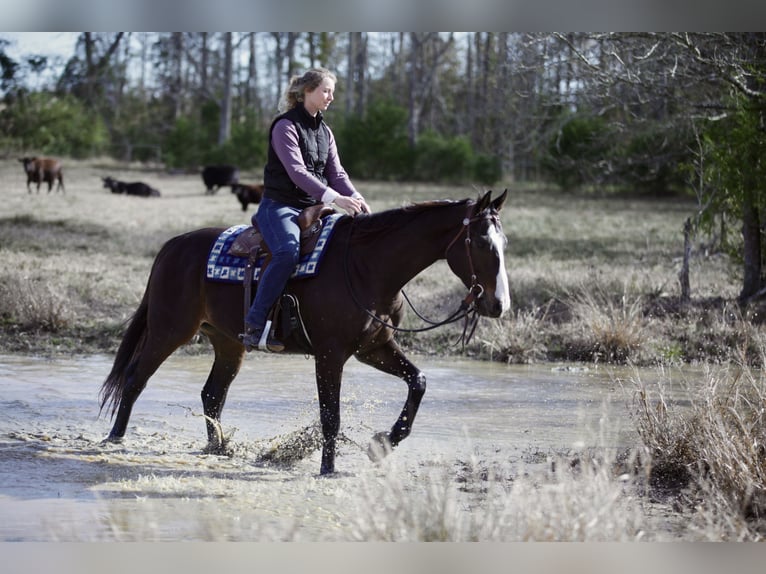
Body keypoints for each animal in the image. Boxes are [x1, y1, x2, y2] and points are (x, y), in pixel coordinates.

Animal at [99, 189, 510, 474]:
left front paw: (382, 444)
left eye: (503, 242)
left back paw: (219, 448)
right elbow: (331, 415)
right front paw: (328, 468)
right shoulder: (330, 354)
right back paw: (114, 437)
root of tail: (173, 245)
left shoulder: (373, 348)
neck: (367, 267)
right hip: (169, 330)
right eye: (480, 242)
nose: (498, 304)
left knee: (212, 394)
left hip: (228, 343)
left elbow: (418, 382)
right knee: (135, 378)